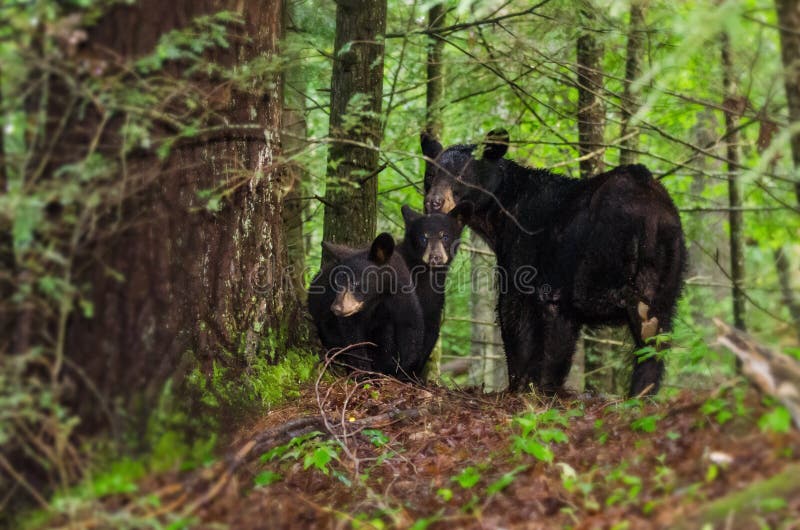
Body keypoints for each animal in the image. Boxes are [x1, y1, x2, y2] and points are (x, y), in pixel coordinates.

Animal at [306, 233, 424, 378]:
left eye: (355, 283)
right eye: (337, 282)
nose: (336, 308)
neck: (376, 298)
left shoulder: (401, 297)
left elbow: (411, 327)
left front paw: (403, 372)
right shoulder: (351, 316)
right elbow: (353, 339)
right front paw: (365, 373)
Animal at [422, 128, 684, 394]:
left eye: (461, 175)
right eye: (430, 174)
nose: (433, 201)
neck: (497, 216)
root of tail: (650, 218)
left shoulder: (522, 250)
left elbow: (515, 314)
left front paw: (521, 386)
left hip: (595, 257)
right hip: (667, 266)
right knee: (654, 331)